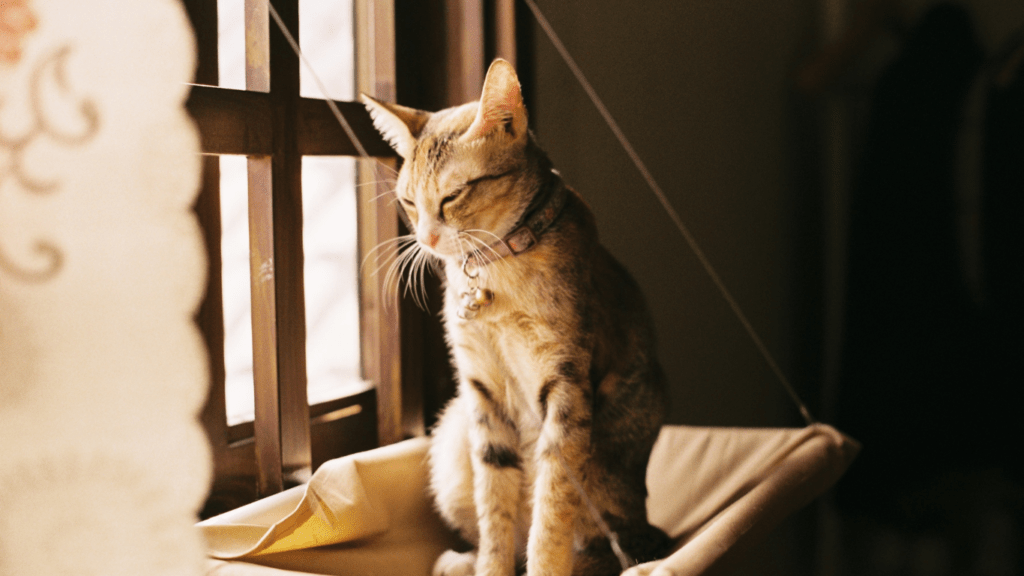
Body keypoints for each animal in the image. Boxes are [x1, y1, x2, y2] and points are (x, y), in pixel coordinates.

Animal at [362, 57, 671, 573]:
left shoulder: (564, 390)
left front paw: (545, 562)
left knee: (601, 546)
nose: (425, 239)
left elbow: (551, 511)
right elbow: (495, 508)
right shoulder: (481, 393)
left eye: (453, 195)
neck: (495, 267)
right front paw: (490, 564)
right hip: (452, 434)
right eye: (407, 202)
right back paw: (460, 561)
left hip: (607, 478)